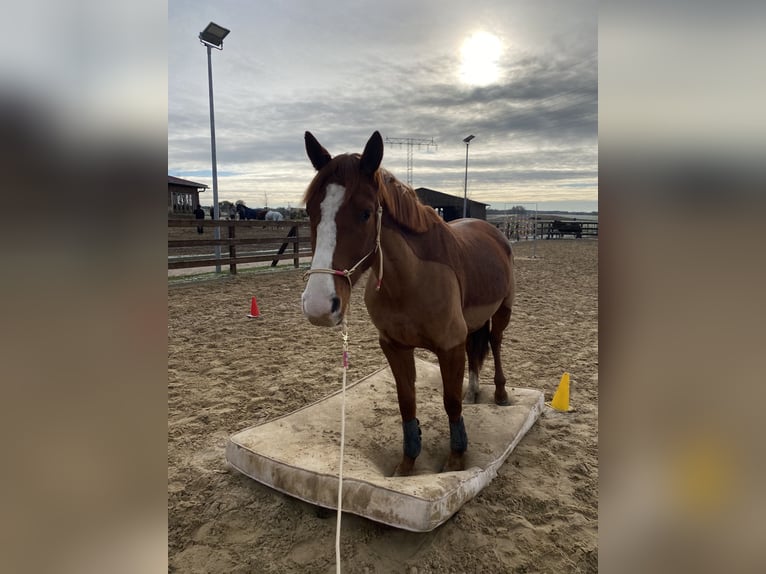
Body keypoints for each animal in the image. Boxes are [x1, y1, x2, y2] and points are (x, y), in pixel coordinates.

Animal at [300, 133, 516, 480]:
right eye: (309, 210)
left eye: (365, 213)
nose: (319, 305)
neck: (411, 282)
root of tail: (494, 231)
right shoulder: (394, 347)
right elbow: (407, 403)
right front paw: (407, 464)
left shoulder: (449, 347)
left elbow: (450, 402)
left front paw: (456, 460)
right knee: (476, 350)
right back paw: (474, 390)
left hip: (502, 313)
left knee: (495, 344)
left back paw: (500, 394)